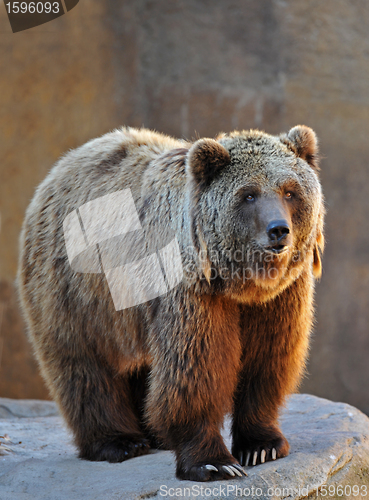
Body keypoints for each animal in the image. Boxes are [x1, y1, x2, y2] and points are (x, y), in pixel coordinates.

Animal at [17, 124, 324, 480]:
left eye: (289, 191)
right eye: (249, 194)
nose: (278, 231)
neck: (241, 282)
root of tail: (56, 172)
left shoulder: (279, 298)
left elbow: (267, 359)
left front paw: (262, 446)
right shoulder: (192, 291)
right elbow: (195, 368)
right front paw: (214, 462)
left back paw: (153, 435)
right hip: (77, 289)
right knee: (83, 364)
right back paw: (119, 441)